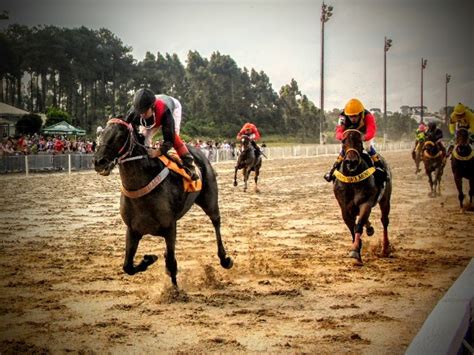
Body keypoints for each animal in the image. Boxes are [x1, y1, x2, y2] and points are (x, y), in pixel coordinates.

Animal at [332, 130, 390, 264]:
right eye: (343, 141)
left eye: (359, 142)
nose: (351, 161)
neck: (352, 180)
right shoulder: (344, 208)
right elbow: (352, 228)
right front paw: (357, 249)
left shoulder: (366, 203)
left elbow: (358, 226)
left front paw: (354, 251)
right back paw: (369, 229)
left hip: (385, 199)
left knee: (384, 221)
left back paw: (385, 249)